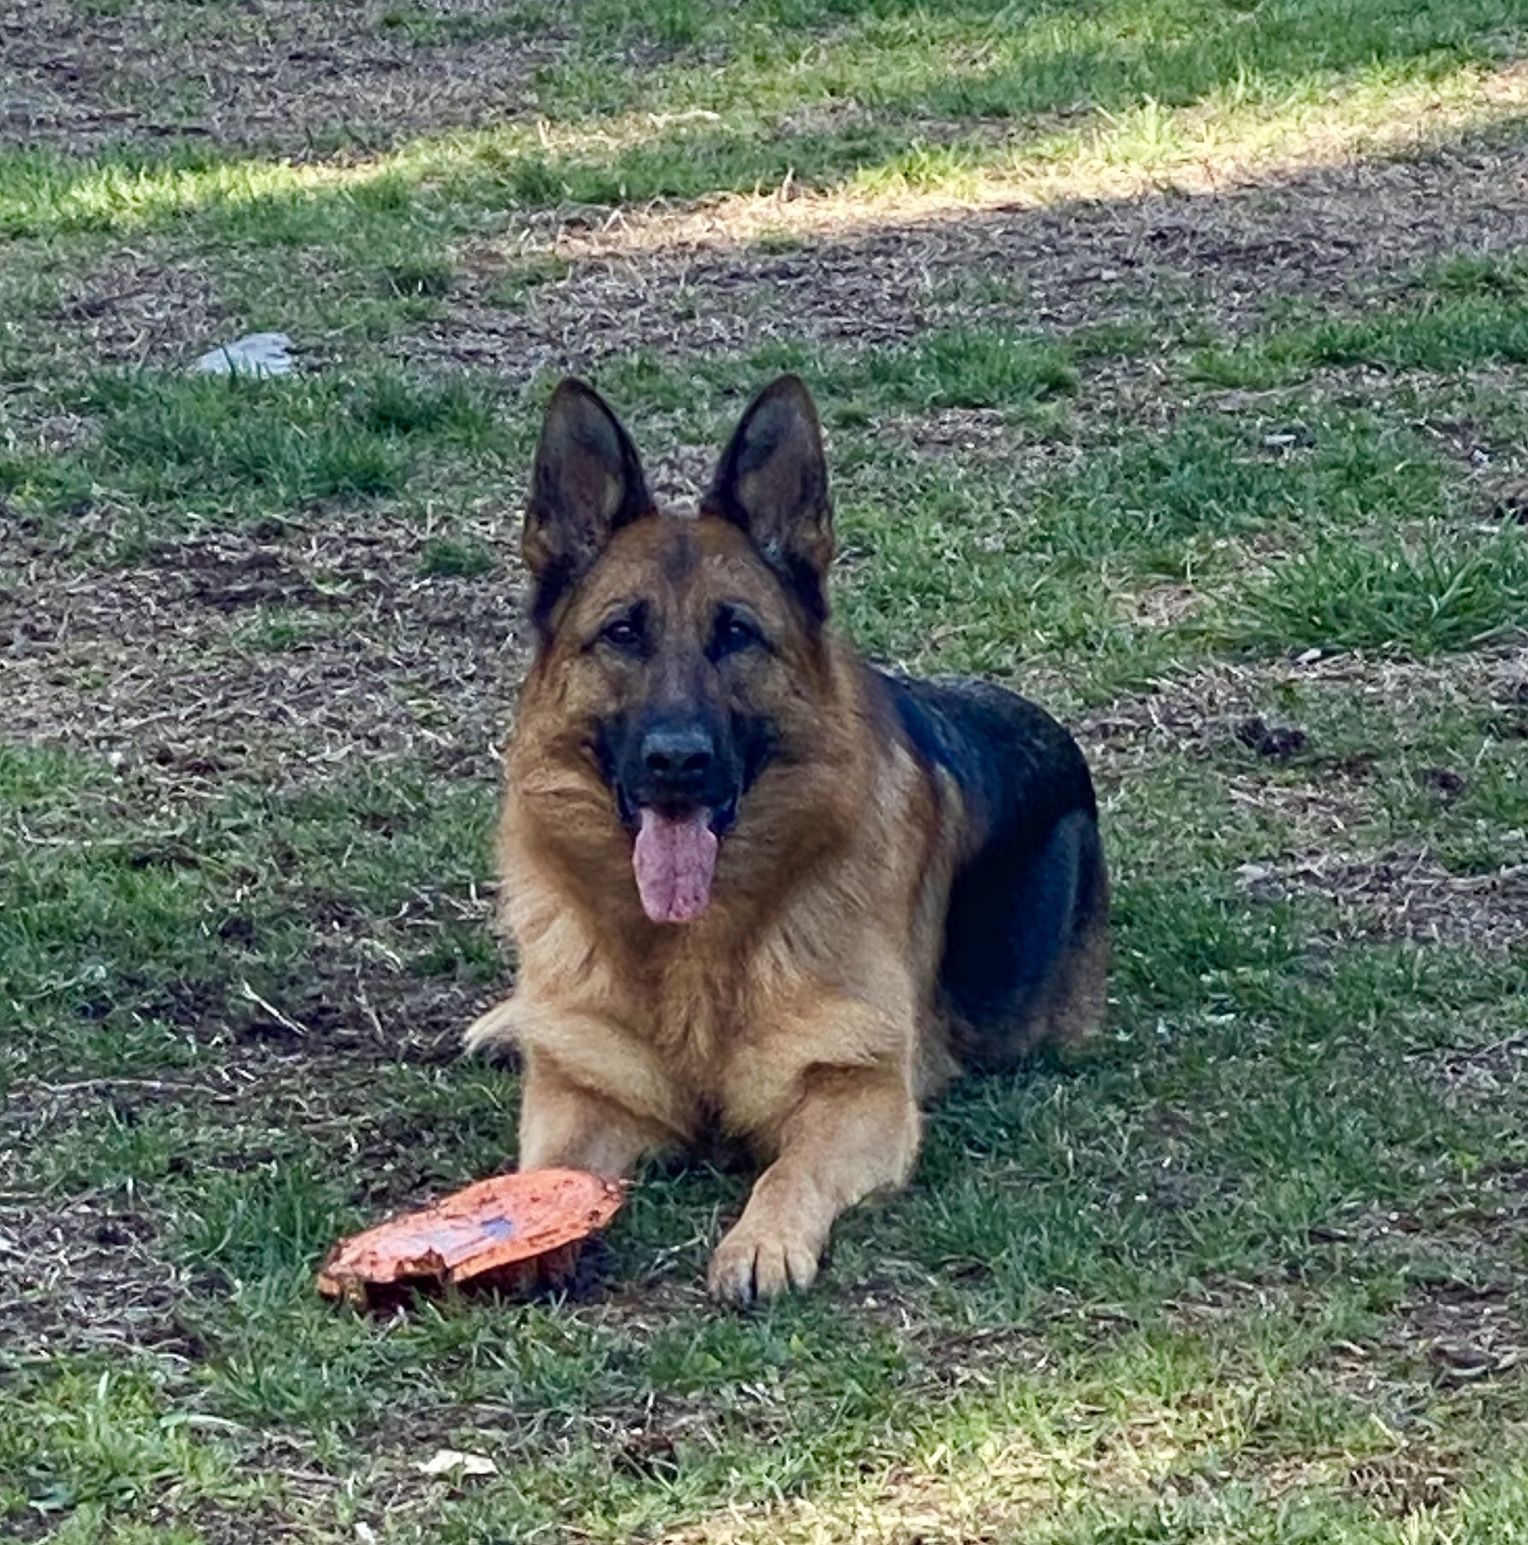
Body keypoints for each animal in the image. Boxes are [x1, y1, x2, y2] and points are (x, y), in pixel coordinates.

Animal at [466, 374, 1108, 1304]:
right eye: (623, 632)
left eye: (736, 633)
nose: (677, 762)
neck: (692, 952)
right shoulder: (583, 1099)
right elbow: (544, 1168)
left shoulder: (859, 1095)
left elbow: (786, 1171)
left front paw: (761, 1242)